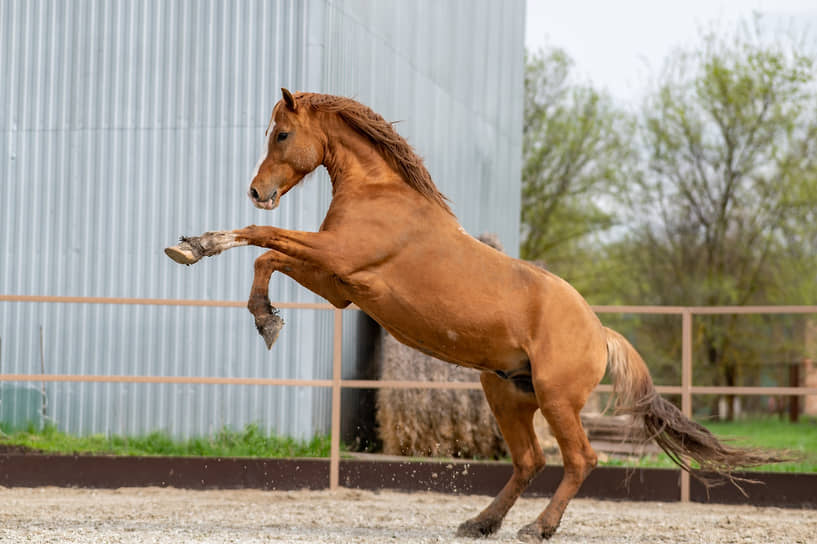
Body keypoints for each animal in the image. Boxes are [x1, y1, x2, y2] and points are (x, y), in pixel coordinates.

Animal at [164, 88, 776, 540]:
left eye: (282, 134)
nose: (257, 190)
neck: (380, 194)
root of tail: (600, 331)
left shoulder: (337, 259)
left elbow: (260, 237)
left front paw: (195, 247)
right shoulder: (338, 284)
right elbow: (266, 256)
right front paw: (263, 316)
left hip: (556, 400)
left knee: (581, 459)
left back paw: (537, 528)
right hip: (506, 393)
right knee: (530, 460)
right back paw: (481, 523)